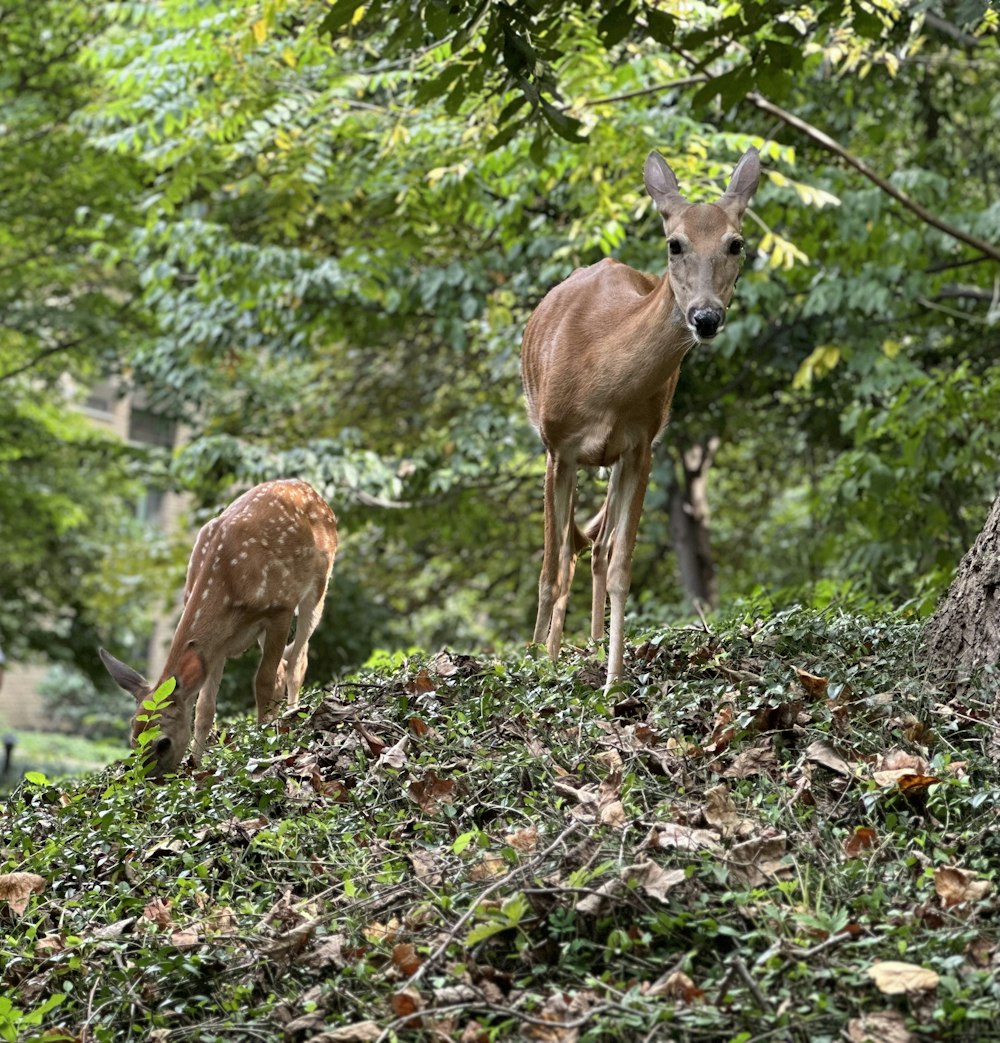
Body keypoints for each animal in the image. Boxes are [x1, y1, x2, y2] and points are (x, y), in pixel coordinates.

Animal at [100, 477, 339, 775]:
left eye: (162, 743)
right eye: (133, 739)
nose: (151, 780)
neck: (227, 581)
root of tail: (309, 488)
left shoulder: (280, 609)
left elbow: (262, 681)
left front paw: (262, 745)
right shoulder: (218, 644)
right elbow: (204, 707)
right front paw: (197, 764)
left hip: (318, 583)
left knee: (298, 660)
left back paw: (291, 716)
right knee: (285, 666)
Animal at [519, 142, 763, 688]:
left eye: (736, 244)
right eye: (675, 244)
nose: (705, 317)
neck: (600, 374)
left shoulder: (641, 446)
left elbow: (620, 566)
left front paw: (614, 679)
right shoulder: (558, 448)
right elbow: (551, 568)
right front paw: (543, 665)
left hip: (610, 460)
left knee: (597, 549)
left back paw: (589, 645)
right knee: (560, 558)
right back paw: (543, 650)